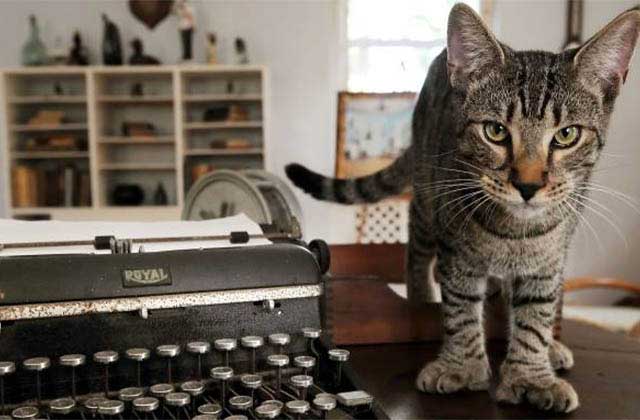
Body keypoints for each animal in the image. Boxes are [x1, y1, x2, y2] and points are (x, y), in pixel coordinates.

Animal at [286, 2, 640, 414]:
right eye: (495, 131)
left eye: (567, 135)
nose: (528, 185)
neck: (513, 232)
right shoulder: (456, 252)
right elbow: (461, 308)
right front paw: (463, 366)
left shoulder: (548, 259)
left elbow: (536, 314)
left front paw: (531, 374)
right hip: (427, 196)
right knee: (417, 248)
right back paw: (420, 298)